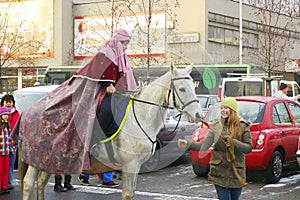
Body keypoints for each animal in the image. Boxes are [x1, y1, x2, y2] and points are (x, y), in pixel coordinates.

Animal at [19, 65, 204, 199]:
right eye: (182, 89)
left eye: (193, 87)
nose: (198, 115)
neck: (140, 116)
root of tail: (27, 112)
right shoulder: (130, 165)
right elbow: (128, 194)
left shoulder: (135, 166)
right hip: (36, 158)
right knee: (28, 184)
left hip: (49, 159)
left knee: (41, 183)